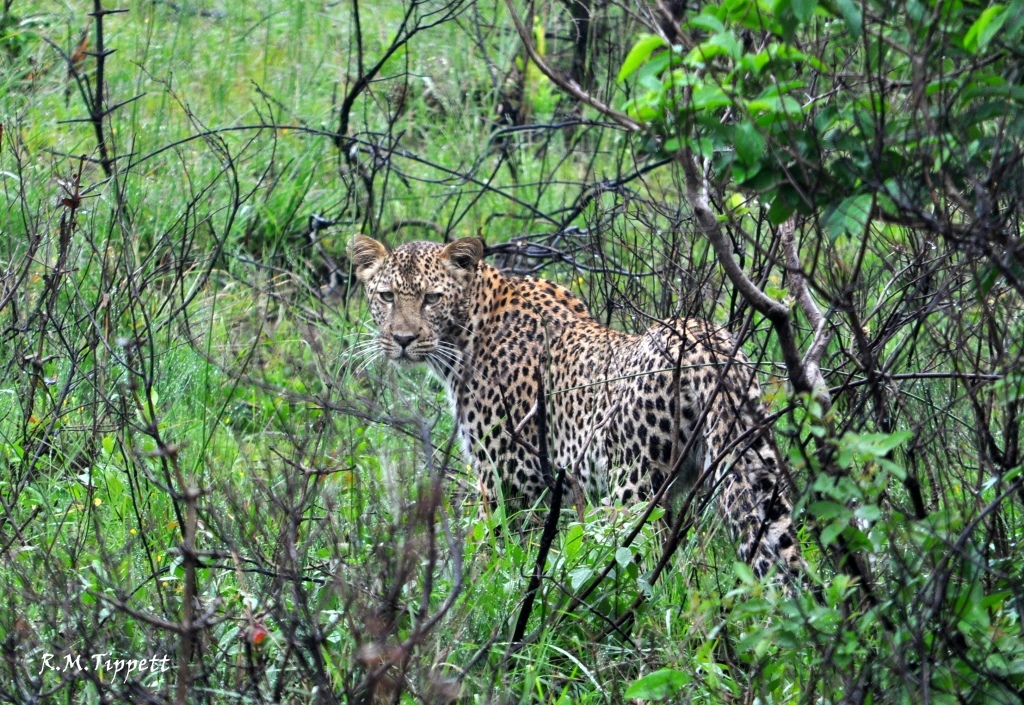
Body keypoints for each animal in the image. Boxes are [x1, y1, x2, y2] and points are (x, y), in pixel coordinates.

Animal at [348, 233, 802, 573]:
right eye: (386, 296)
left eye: (431, 298)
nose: (403, 339)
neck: (466, 334)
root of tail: (706, 343)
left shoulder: (507, 479)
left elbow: (494, 551)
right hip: (754, 464)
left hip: (633, 487)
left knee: (637, 559)